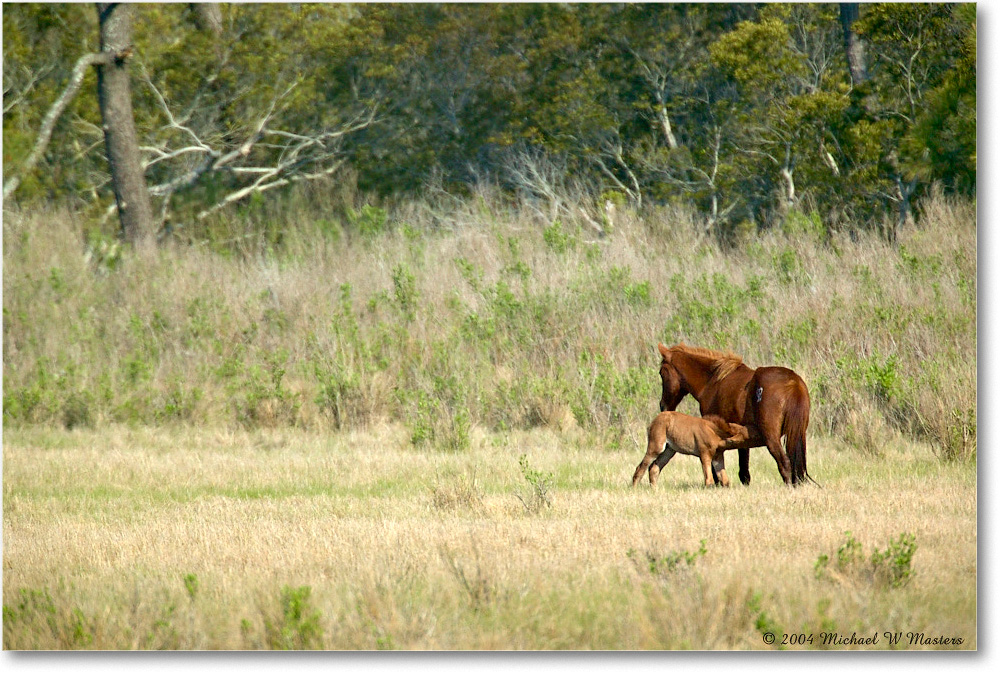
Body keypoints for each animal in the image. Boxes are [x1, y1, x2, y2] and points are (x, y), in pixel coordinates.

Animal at [656, 342, 812, 484]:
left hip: (771, 437)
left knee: (784, 463)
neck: (712, 381)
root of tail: (793, 382)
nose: (663, 406)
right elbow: (744, 471)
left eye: (662, 373)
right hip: (798, 434)